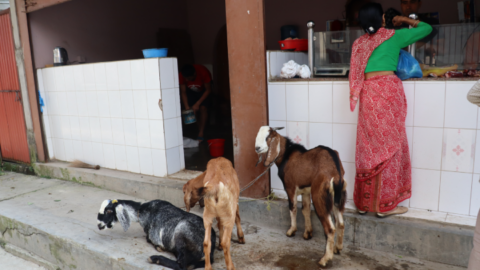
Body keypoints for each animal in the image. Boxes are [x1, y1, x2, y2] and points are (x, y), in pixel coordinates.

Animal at [256, 126, 346, 266]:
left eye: (267, 137)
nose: (257, 148)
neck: (287, 155)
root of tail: (335, 172)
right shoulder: (306, 191)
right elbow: (305, 210)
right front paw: (307, 233)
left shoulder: (290, 187)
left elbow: (292, 208)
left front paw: (291, 231)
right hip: (338, 196)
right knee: (340, 223)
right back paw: (337, 248)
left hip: (319, 196)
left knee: (330, 228)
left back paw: (325, 259)